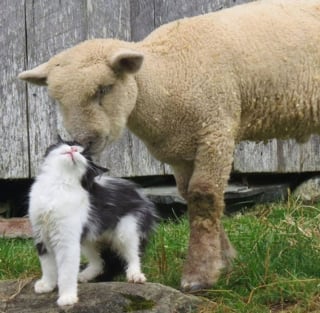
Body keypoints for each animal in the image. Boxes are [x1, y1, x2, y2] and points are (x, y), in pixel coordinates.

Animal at [28, 137, 158, 304]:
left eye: (83, 154)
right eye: (70, 144)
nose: (73, 150)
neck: (57, 184)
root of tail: (142, 196)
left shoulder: (67, 240)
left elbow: (66, 271)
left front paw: (67, 297)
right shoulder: (42, 235)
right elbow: (47, 265)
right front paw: (47, 285)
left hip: (126, 230)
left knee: (133, 255)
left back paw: (135, 275)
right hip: (89, 237)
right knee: (99, 262)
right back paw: (83, 276)